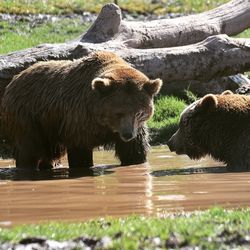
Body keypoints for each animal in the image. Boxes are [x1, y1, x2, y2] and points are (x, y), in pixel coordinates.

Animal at [1, 51, 162, 171]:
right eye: (118, 112)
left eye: (139, 112)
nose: (128, 134)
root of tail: (13, 81)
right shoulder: (79, 119)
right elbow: (80, 152)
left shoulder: (134, 128)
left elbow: (133, 152)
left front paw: (134, 159)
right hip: (28, 116)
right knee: (29, 149)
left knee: (51, 152)